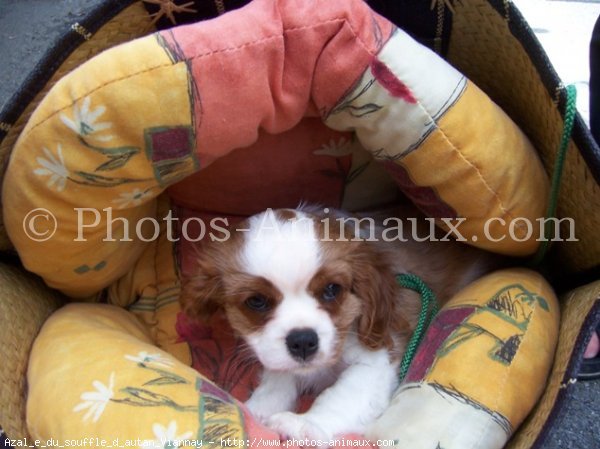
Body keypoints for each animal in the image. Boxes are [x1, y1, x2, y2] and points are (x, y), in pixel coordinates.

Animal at [182, 205, 496, 440]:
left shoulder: (379, 358)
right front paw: (257, 409)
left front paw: (305, 425)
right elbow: (278, 379)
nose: (303, 340)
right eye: (257, 301)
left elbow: (340, 395)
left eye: (332, 290)